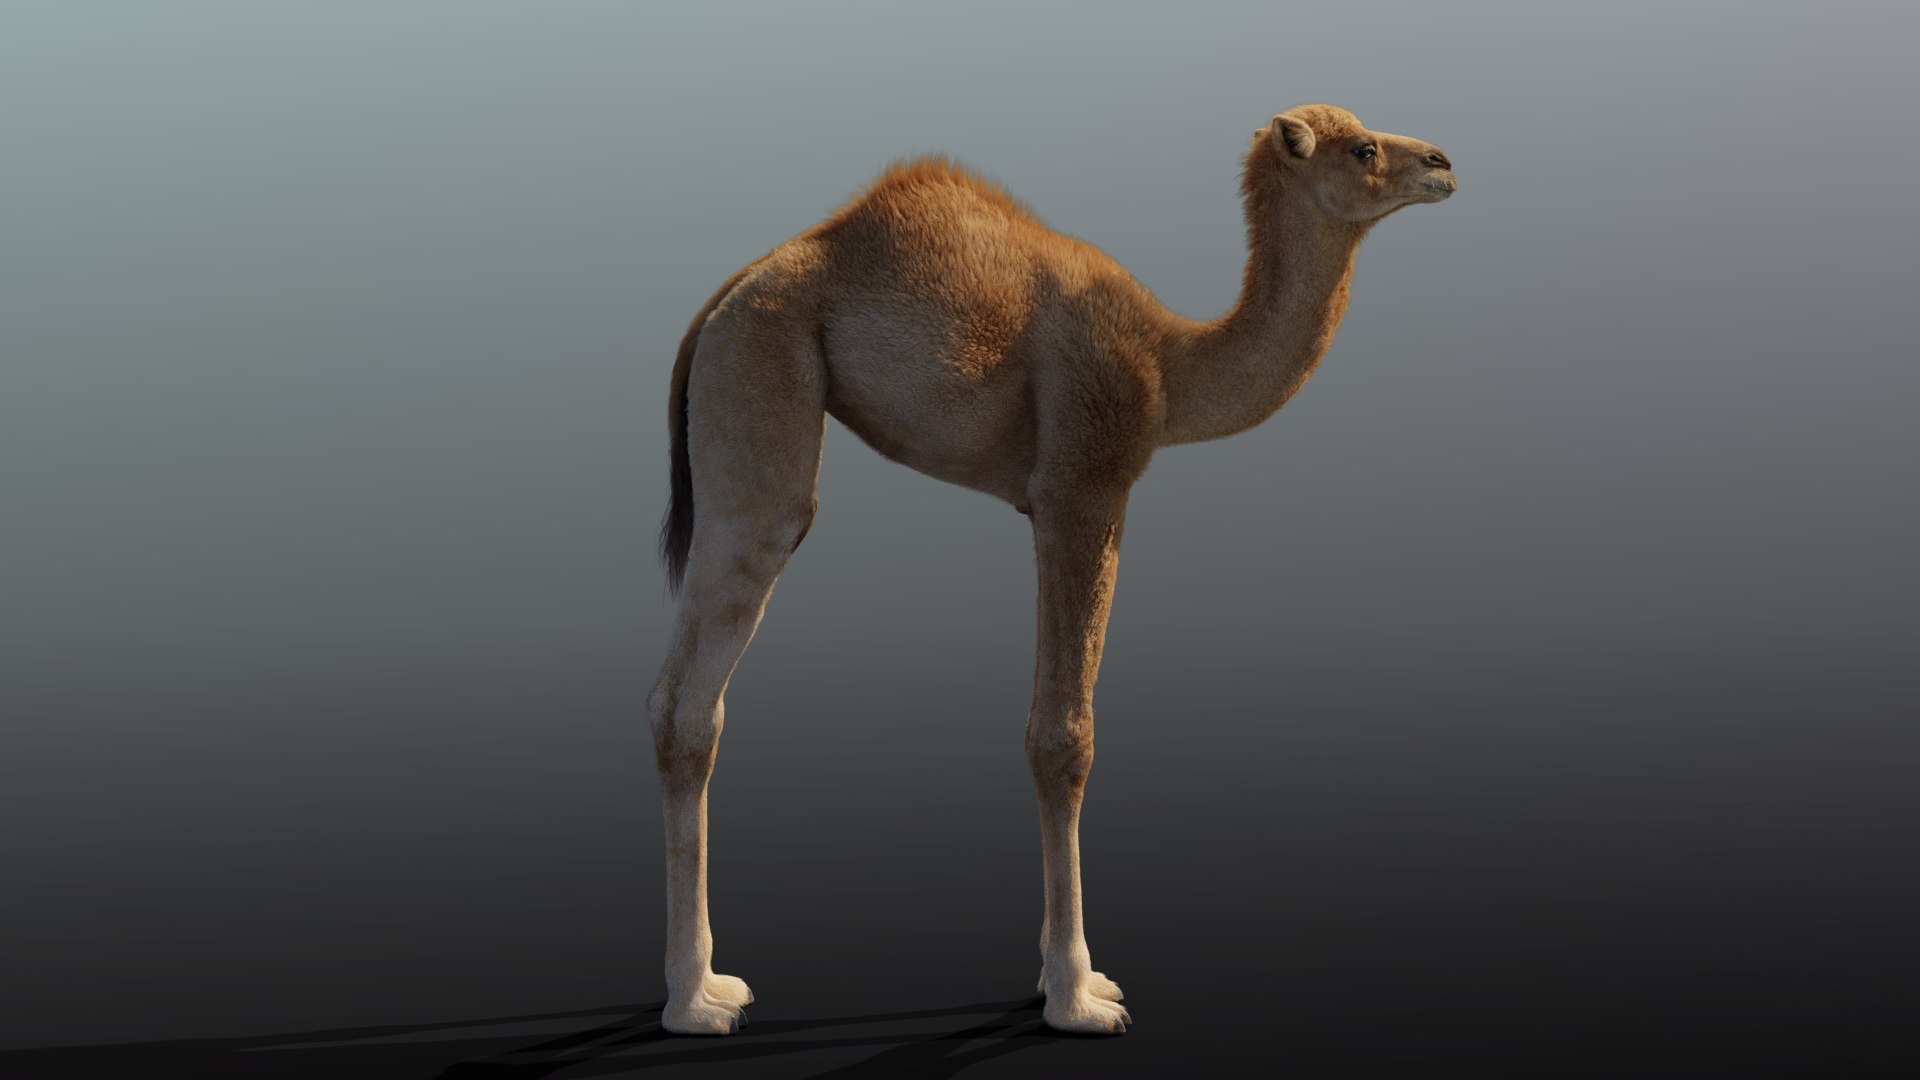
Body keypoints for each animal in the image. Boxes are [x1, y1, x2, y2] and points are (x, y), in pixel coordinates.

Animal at [645, 104, 1456, 1035]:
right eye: (1363, 149)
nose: (1442, 164)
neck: (1170, 362)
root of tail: (726, 295)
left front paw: (1062, 976)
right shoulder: (1082, 485)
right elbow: (1063, 738)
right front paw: (1077, 995)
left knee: (681, 698)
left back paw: (708, 983)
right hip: (761, 373)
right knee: (704, 674)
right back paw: (694, 1001)